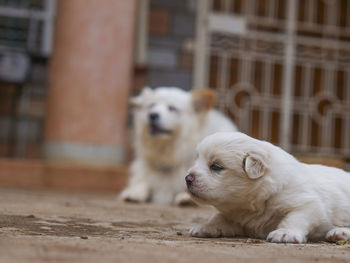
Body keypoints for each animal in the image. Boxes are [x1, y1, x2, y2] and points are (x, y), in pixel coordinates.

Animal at [187, 133, 350, 244]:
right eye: (196, 160)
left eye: (216, 166)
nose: (187, 178)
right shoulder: (237, 217)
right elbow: (218, 217)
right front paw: (205, 227)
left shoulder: (308, 204)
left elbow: (294, 217)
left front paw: (285, 233)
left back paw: (339, 232)